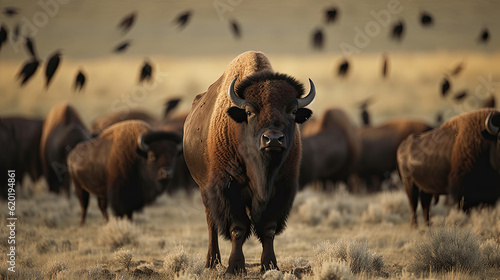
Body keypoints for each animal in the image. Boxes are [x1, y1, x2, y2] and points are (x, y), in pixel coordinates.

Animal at [184, 50, 316, 274]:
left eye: (292, 111)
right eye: (249, 112)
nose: (273, 139)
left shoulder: (281, 190)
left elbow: (268, 229)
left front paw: (270, 265)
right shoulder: (229, 189)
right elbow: (238, 229)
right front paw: (235, 267)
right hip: (204, 188)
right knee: (211, 223)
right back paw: (212, 262)